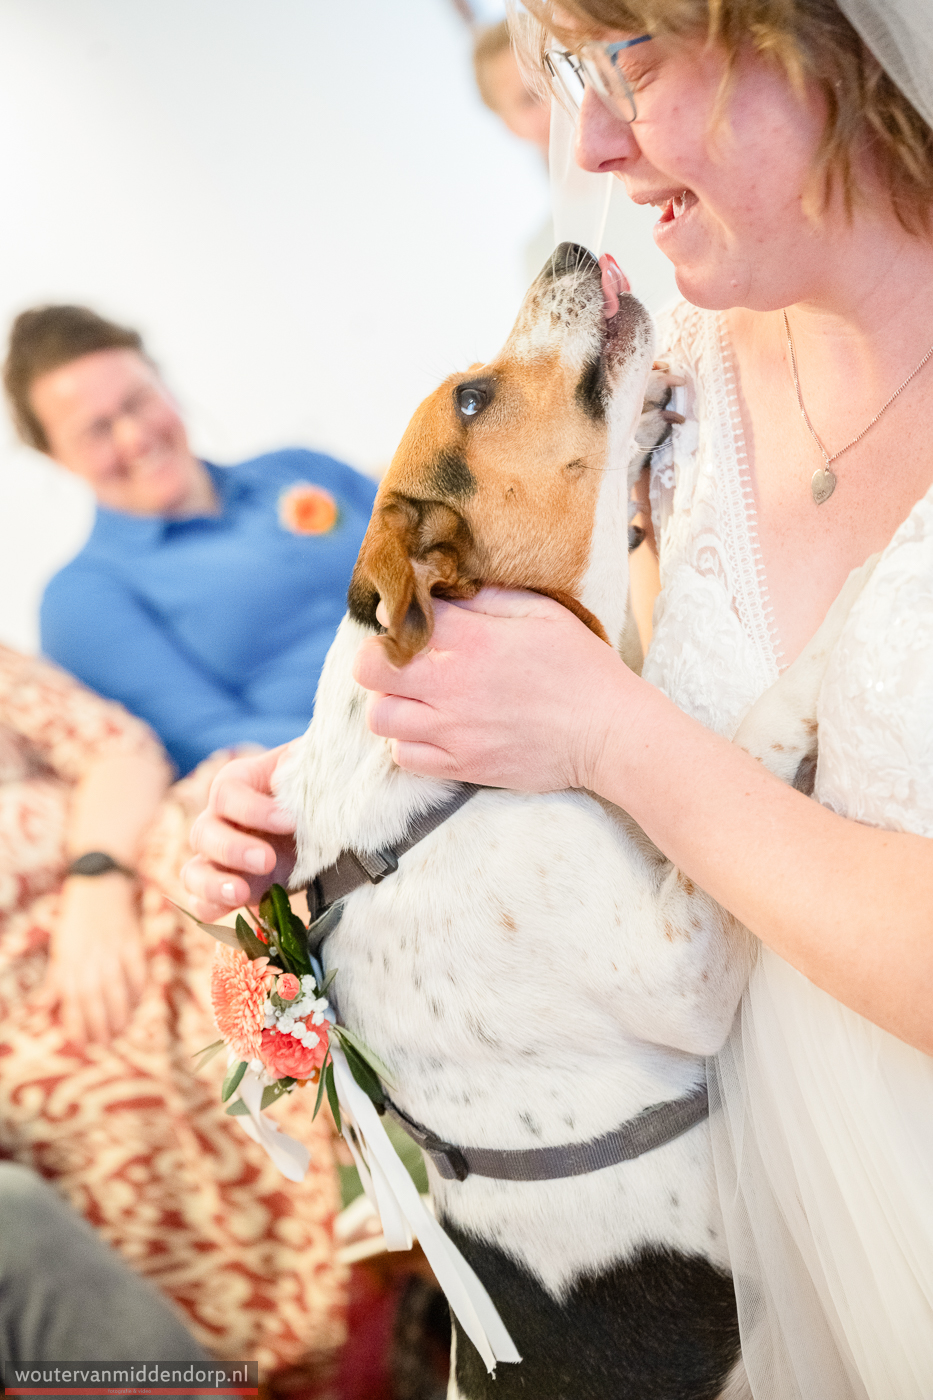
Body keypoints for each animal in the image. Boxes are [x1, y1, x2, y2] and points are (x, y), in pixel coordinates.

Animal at [273, 243, 868, 1400]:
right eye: (471, 397)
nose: (565, 248)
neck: (432, 800)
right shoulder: (681, 963)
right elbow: (759, 728)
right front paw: (850, 609)